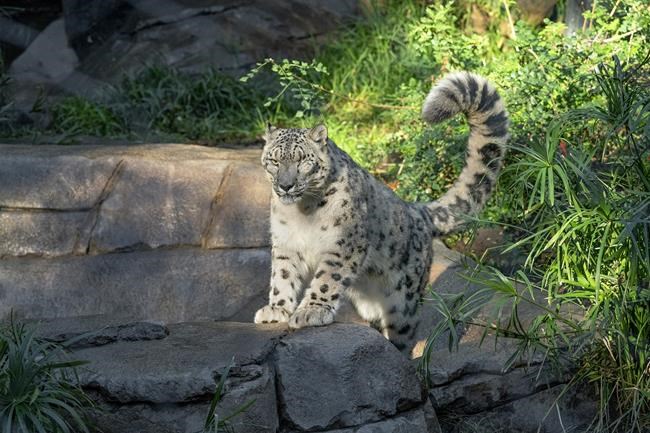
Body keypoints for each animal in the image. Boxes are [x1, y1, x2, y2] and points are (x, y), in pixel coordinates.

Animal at [253, 71, 509, 355]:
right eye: (274, 160)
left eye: (302, 161)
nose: (285, 185)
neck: (302, 212)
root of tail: (416, 210)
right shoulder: (285, 243)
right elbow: (282, 275)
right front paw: (276, 310)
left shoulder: (344, 243)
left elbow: (327, 279)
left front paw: (311, 311)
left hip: (403, 300)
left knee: (405, 329)